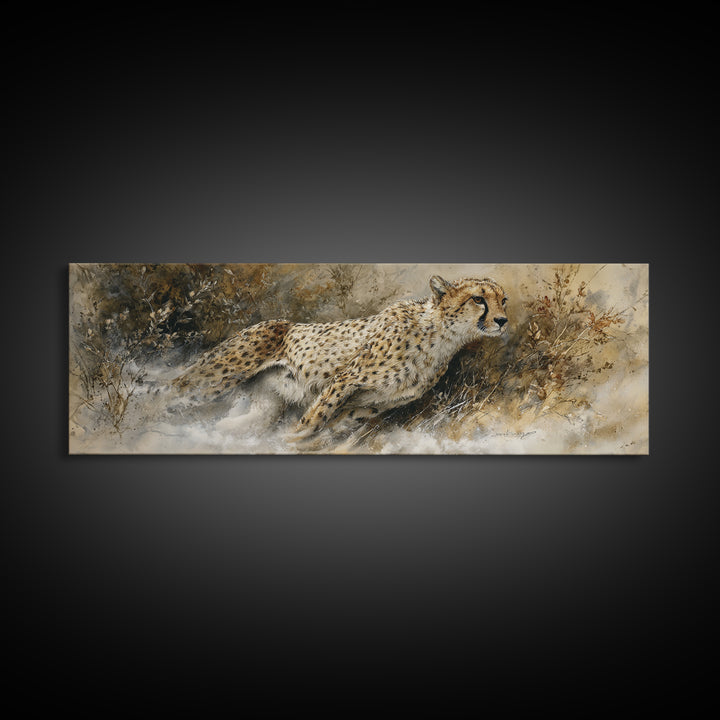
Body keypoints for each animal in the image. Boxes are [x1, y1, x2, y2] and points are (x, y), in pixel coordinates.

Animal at [170, 275, 508, 444]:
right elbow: (313, 419)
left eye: (503, 300)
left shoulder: (371, 405)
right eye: (478, 299)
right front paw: (291, 442)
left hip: (264, 406)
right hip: (214, 378)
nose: (503, 320)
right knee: (170, 394)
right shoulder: (345, 380)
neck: (441, 336)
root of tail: (270, 322)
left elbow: (332, 426)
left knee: (243, 423)